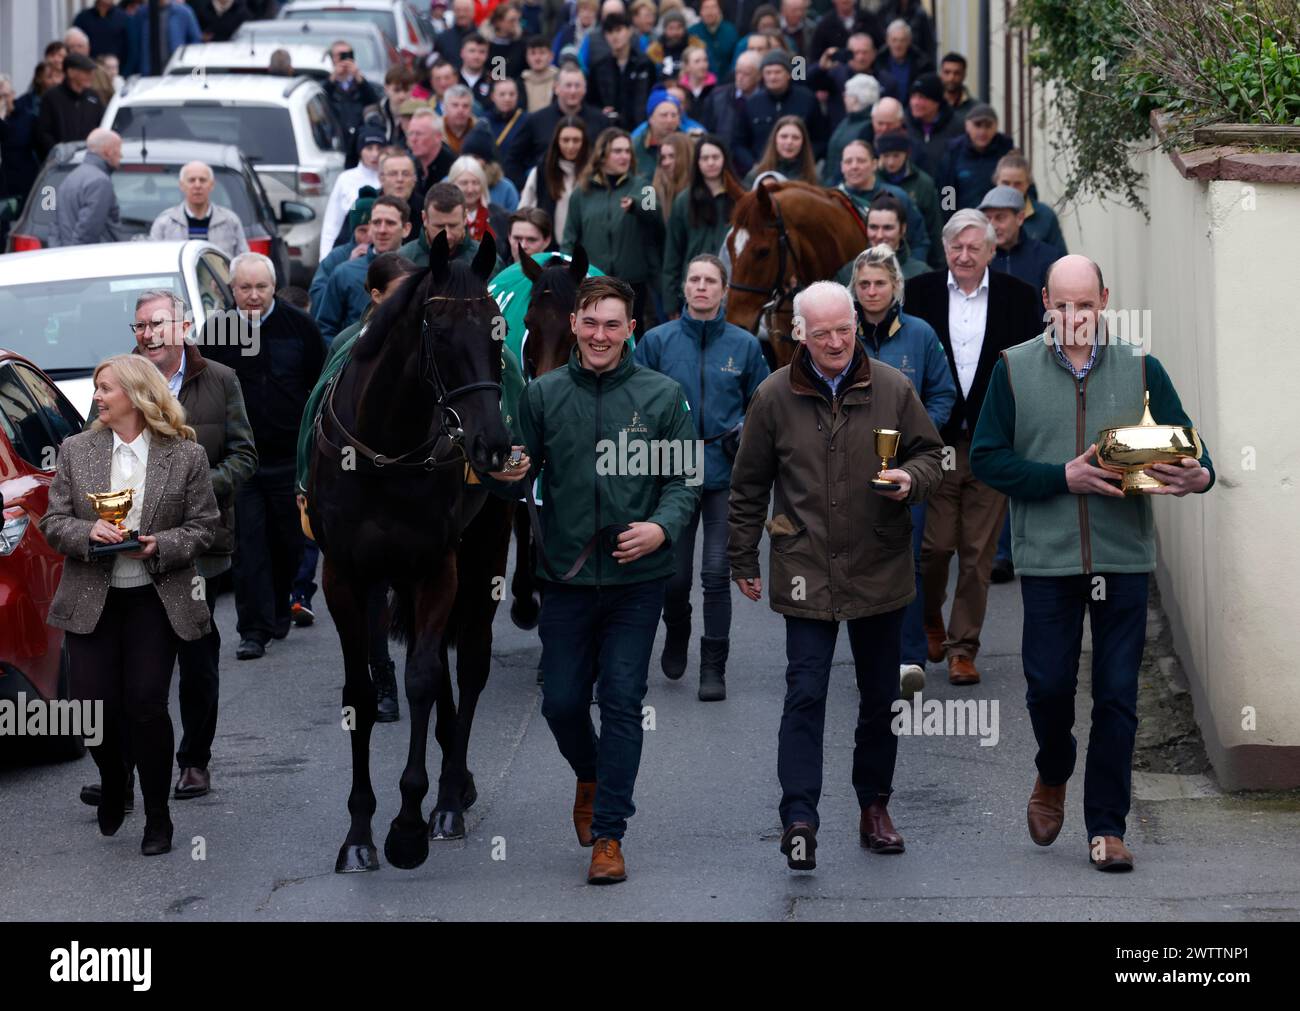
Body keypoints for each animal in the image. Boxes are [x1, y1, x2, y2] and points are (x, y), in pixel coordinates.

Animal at [306, 232, 509, 868]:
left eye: (497, 331)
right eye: (438, 333)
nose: (493, 445)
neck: (385, 453)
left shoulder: (434, 567)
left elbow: (422, 678)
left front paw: (410, 821)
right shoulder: (345, 576)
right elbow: (361, 694)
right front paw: (359, 833)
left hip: (483, 550)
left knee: (467, 663)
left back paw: (449, 796)